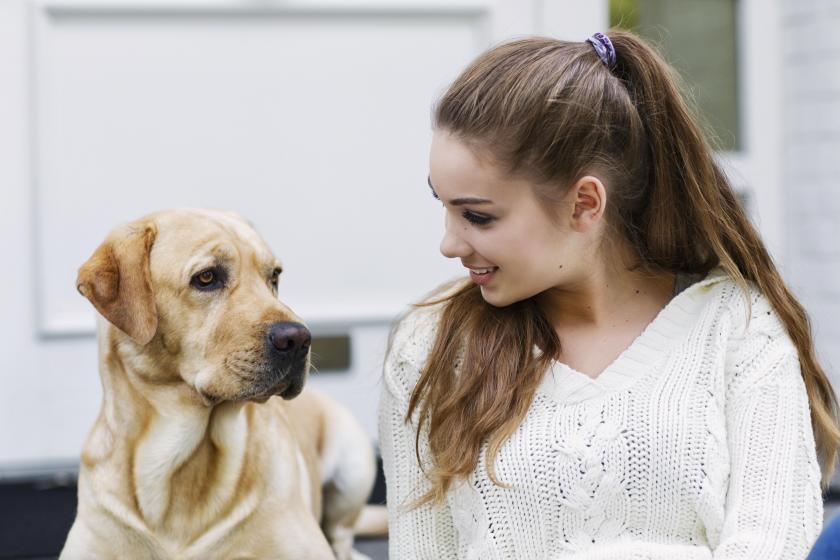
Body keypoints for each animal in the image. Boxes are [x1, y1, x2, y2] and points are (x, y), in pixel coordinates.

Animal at [59, 210, 374, 560]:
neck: (181, 466)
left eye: (274, 277)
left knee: (343, 539)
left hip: (353, 467)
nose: (299, 339)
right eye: (207, 277)